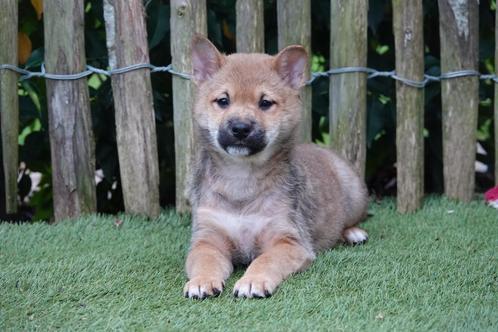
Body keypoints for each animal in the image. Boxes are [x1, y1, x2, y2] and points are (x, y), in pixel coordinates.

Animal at [184, 35, 370, 300]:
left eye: (265, 103)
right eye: (223, 101)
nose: (240, 128)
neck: (241, 179)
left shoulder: (287, 240)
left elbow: (265, 260)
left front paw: (253, 281)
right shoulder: (207, 239)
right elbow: (205, 261)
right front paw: (202, 281)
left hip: (354, 194)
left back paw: (353, 233)